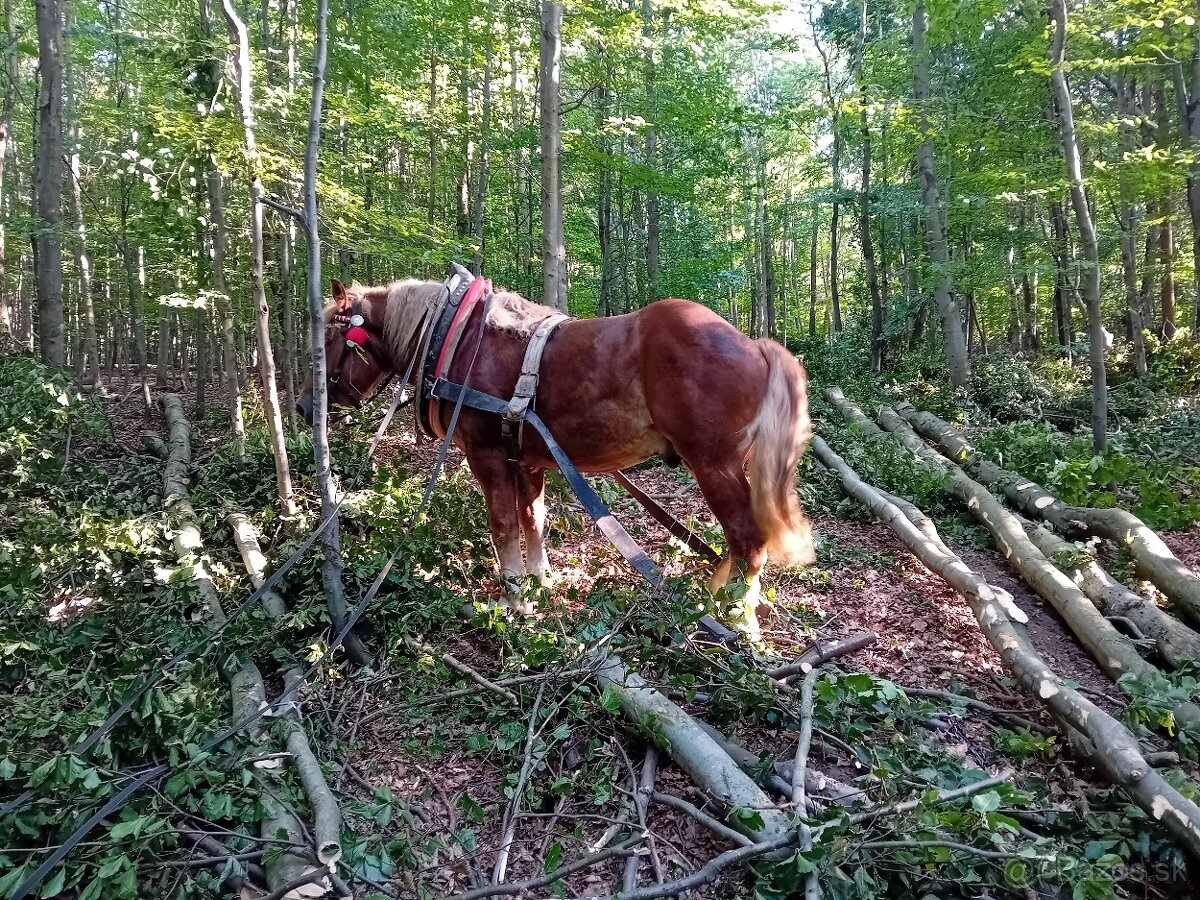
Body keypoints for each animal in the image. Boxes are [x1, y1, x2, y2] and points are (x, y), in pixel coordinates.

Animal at [297, 278, 816, 638]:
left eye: (329, 343)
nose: (303, 407)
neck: (459, 340)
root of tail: (754, 346)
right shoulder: (526, 461)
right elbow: (534, 519)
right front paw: (538, 582)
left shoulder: (487, 457)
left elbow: (503, 526)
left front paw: (514, 603)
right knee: (738, 540)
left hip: (713, 465)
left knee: (748, 538)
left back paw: (732, 615)